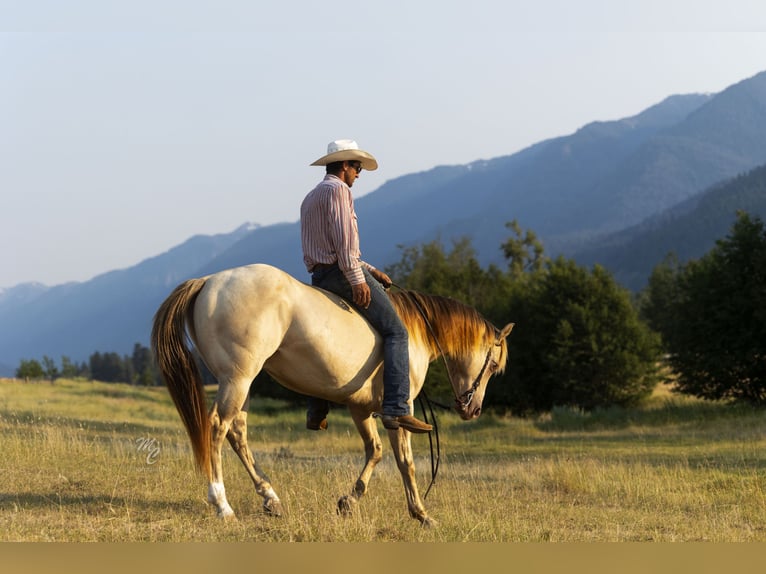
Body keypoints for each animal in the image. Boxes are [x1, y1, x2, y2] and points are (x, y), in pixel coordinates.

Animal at [151, 264, 516, 528]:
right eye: (493, 365)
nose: (473, 408)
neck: (414, 332)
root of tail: (208, 281)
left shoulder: (361, 409)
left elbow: (375, 452)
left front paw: (348, 502)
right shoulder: (398, 411)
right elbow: (405, 462)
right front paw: (421, 514)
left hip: (241, 384)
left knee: (237, 433)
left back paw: (270, 498)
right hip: (237, 379)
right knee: (217, 428)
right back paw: (222, 505)